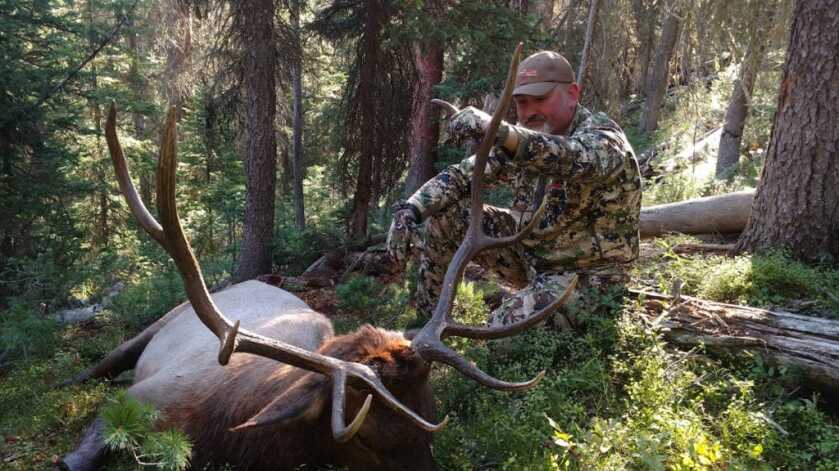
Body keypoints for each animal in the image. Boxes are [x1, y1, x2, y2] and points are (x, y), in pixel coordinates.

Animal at [59, 44, 577, 471]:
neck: (225, 434)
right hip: (160, 322)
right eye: (365, 440)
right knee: (104, 361)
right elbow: (75, 458)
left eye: (428, 422)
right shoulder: (142, 398)